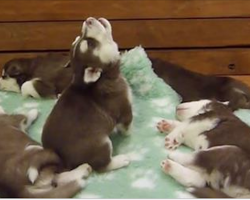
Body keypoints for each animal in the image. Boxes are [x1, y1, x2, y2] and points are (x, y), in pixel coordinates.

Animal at [42, 18, 134, 172]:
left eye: (79, 36)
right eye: (91, 44)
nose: (88, 20)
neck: (104, 77)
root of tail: (64, 162)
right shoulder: (124, 110)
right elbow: (127, 125)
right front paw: (129, 133)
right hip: (102, 144)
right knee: (102, 166)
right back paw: (120, 160)